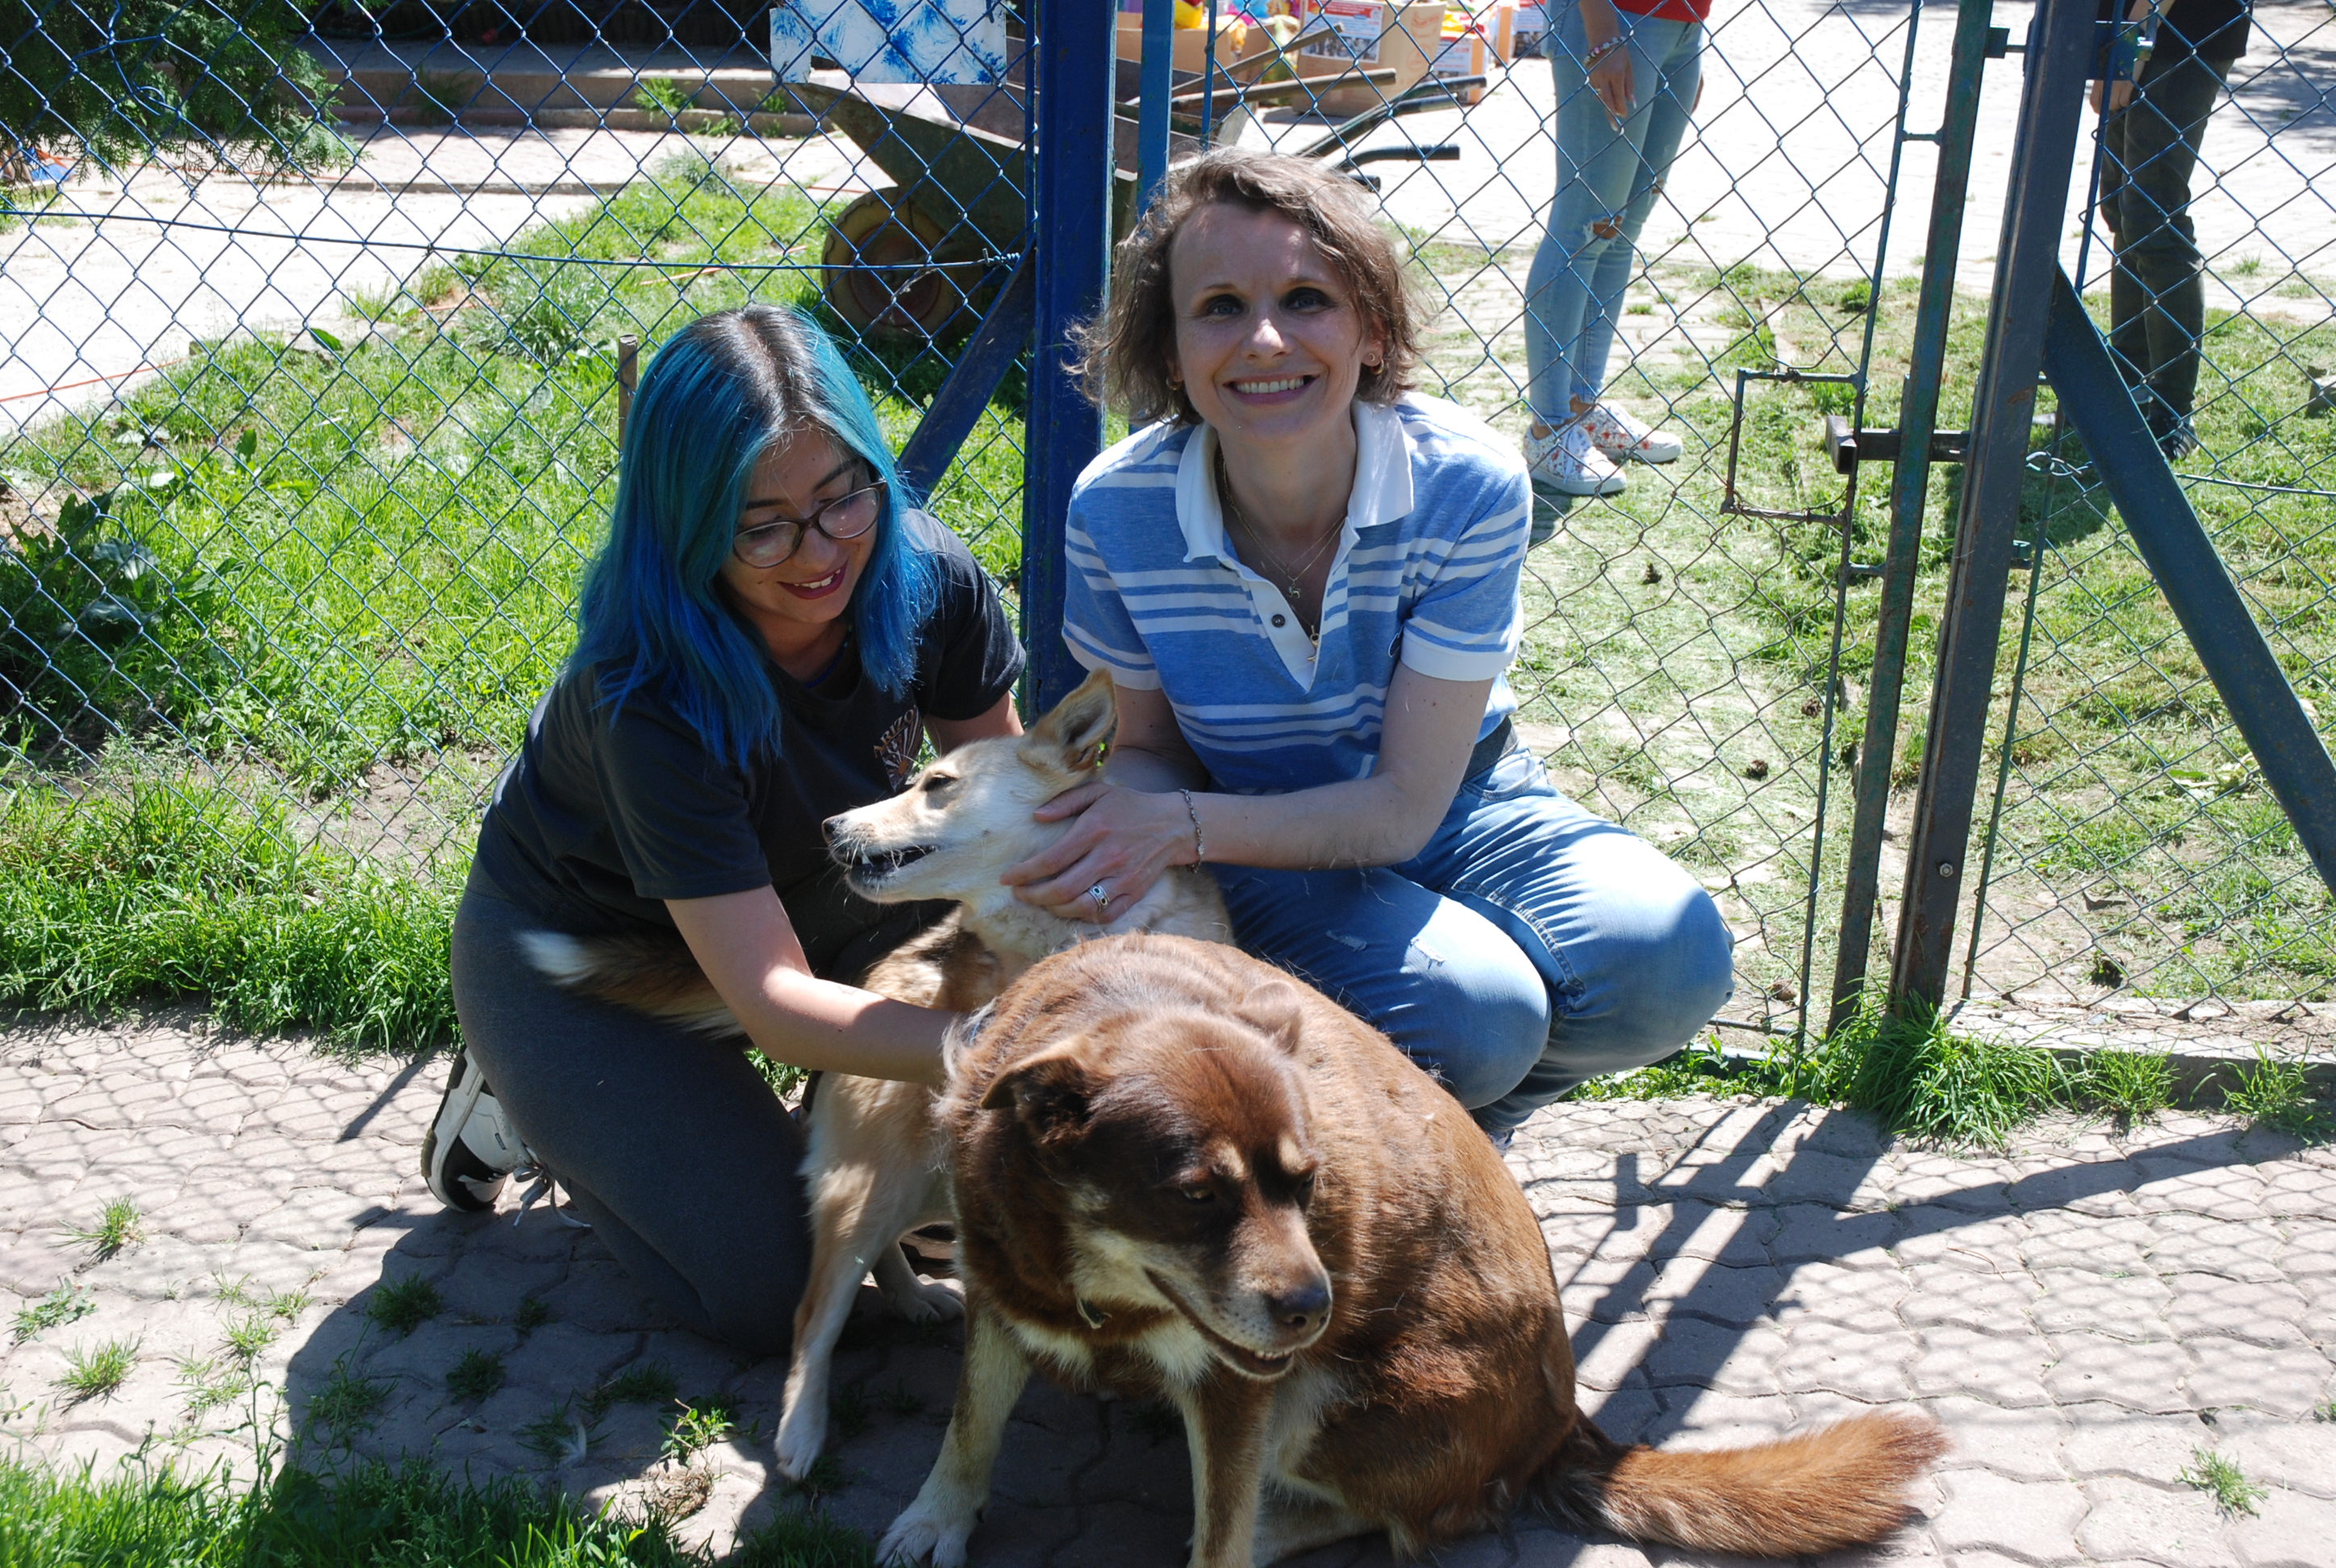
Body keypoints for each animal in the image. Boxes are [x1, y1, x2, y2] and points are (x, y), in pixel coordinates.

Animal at [523, 668, 1229, 1480]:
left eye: (938, 782)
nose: (832, 827)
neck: (1069, 930)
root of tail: (864, 986)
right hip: (874, 1185)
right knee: (814, 1312)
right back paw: (802, 1431)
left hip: (919, 1185)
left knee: (886, 1252)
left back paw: (916, 1297)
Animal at [880, 935, 1946, 1567]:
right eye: (1195, 1196)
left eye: (1305, 1185)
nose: (1314, 1309)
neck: (1094, 1281)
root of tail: (1561, 1428)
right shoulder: (1000, 1296)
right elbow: (967, 1428)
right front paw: (933, 1522)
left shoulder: (1238, 1392)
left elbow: (1219, 1531)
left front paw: (1225, 1531)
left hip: (1335, 1403)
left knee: (1416, 1517)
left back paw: (1274, 1522)